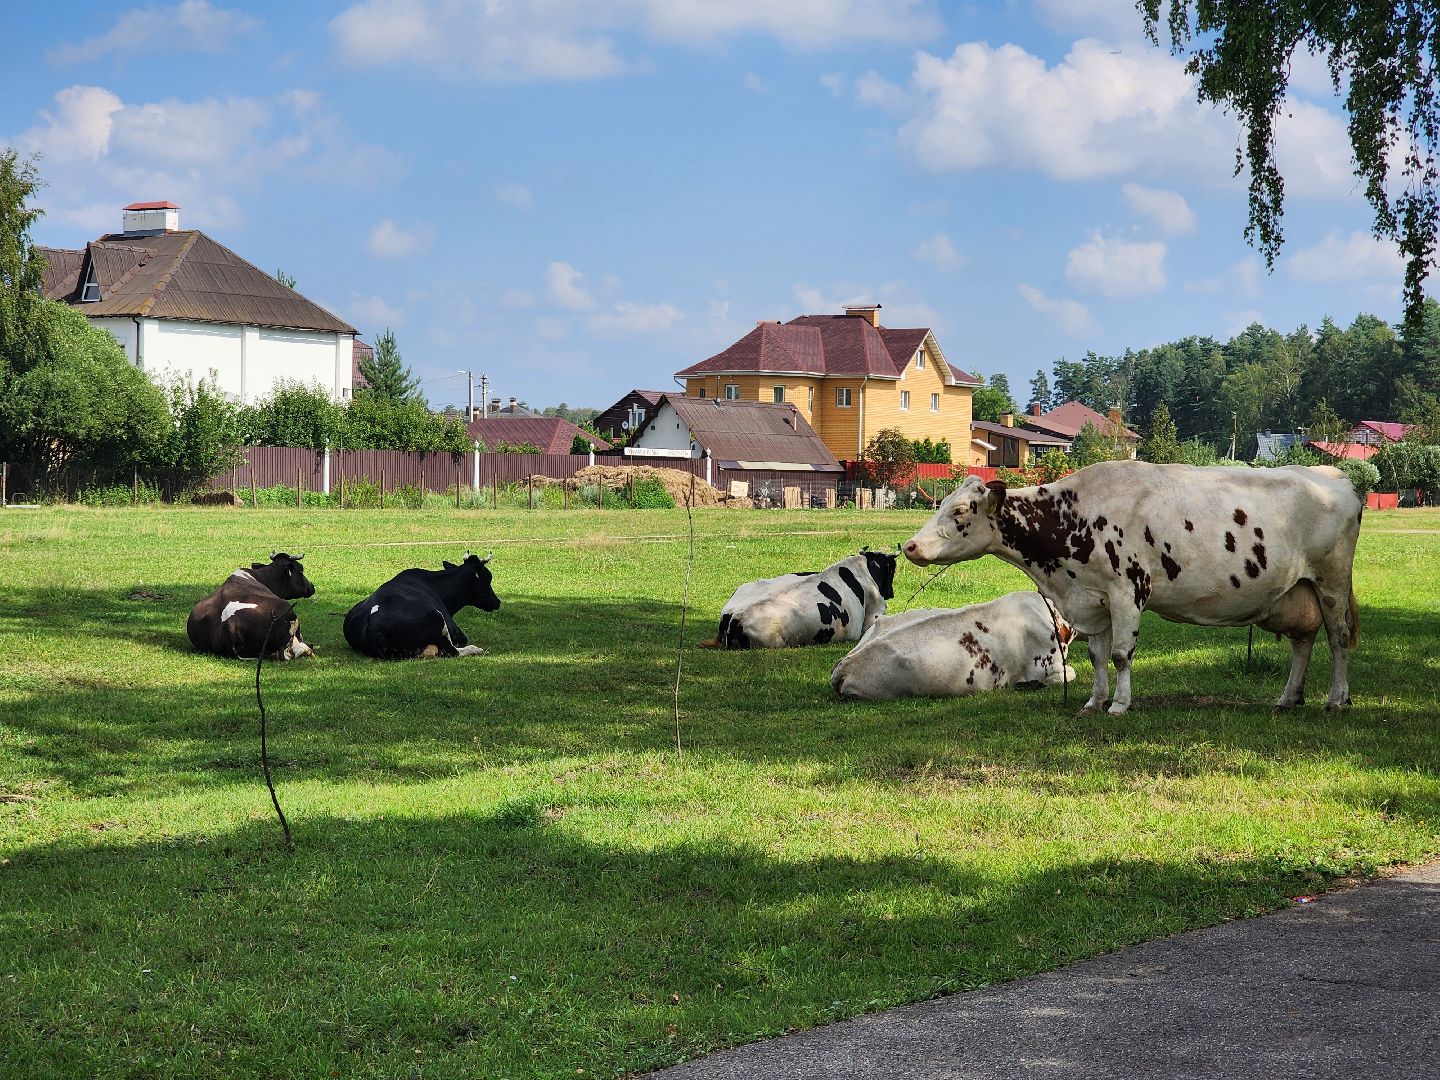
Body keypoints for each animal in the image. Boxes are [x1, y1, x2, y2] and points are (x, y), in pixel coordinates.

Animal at [344, 553, 500, 660]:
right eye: (488, 578)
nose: (498, 602)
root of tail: (372, 621)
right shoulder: (455, 631)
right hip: (437, 618)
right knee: (452, 651)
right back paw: (475, 649)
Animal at [903, 462, 1361, 714]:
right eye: (941, 504)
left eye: (961, 510)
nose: (910, 546)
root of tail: (1332, 477)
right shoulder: (1094, 599)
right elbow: (1097, 656)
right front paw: (1093, 702)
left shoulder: (1127, 591)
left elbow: (1122, 654)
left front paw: (1120, 705)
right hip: (1296, 592)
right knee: (1303, 642)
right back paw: (1288, 698)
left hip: (1331, 581)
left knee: (1338, 639)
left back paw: (1336, 699)